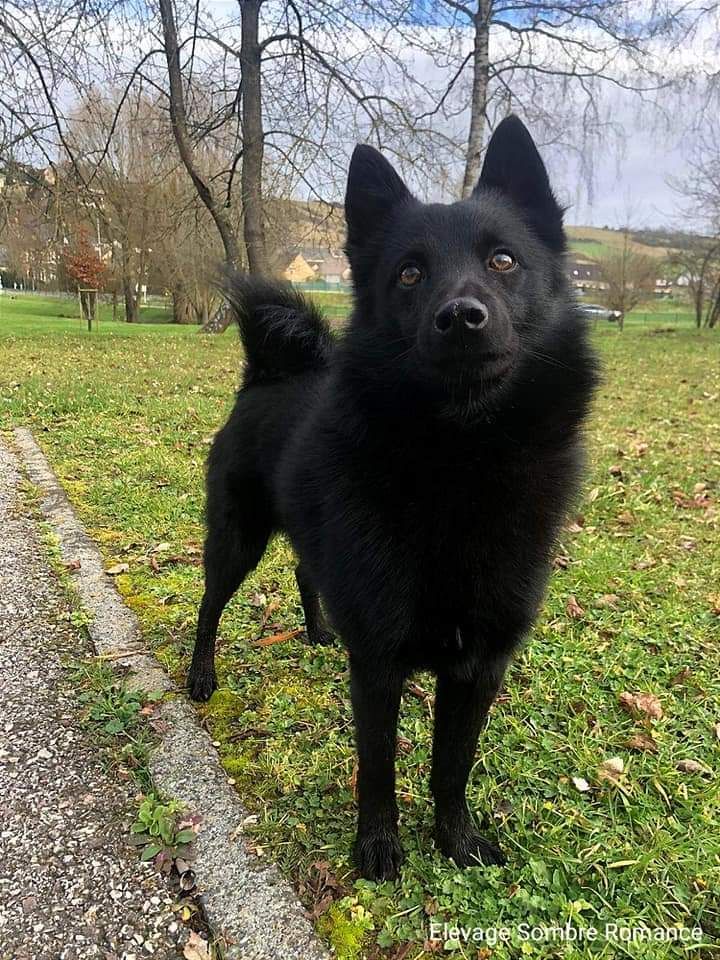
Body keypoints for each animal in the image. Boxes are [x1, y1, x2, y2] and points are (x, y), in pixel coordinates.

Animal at [188, 116, 600, 880]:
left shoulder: (479, 666)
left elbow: (452, 766)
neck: (460, 464)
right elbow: (378, 766)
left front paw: (456, 840)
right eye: (409, 273)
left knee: (305, 570)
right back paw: (201, 673)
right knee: (210, 604)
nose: (461, 316)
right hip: (237, 538)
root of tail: (265, 373)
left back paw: (320, 632)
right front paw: (378, 848)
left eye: (503, 261)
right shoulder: (379, 664)